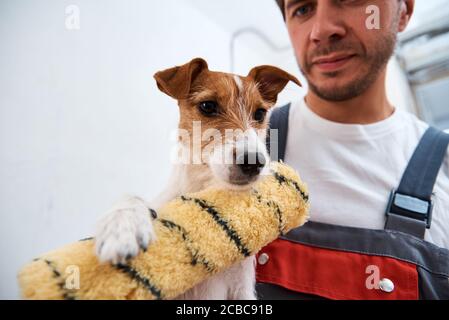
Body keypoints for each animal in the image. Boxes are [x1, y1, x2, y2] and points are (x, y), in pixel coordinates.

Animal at [93, 58, 300, 300]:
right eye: (207, 106)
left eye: (259, 113)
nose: (253, 162)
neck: (202, 187)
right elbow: (131, 197)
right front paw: (122, 226)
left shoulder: (241, 288)